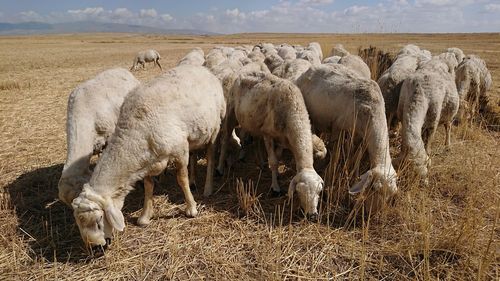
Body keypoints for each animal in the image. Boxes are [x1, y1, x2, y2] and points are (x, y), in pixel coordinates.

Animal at [71, 64, 227, 246]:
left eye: (99, 221)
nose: (97, 248)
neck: (134, 131)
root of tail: (203, 69)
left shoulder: (180, 149)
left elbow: (181, 179)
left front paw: (191, 208)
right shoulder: (148, 160)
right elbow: (148, 186)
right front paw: (145, 216)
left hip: (214, 129)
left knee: (211, 157)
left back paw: (208, 188)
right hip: (196, 135)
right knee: (195, 155)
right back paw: (194, 180)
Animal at [220, 69, 324, 217]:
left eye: (319, 192)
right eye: (300, 191)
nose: (313, 216)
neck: (293, 112)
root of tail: (243, 72)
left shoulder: (282, 140)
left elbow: (278, 157)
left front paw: (277, 176)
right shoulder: (268, 134)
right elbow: (274, 161)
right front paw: (275, 188)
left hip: (250, 121)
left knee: (250, 140)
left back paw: (258, 162)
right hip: (231, 112)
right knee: (225, 139)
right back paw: (220, 168)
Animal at [296, 64, 398, 206]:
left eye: (391, 195)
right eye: (373, 188)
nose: (374, 210)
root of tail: (310, 69)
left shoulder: (361, 138)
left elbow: (354, 157)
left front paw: (352, 174)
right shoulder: (338, 128)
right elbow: (335, 153)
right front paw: (329, 178)